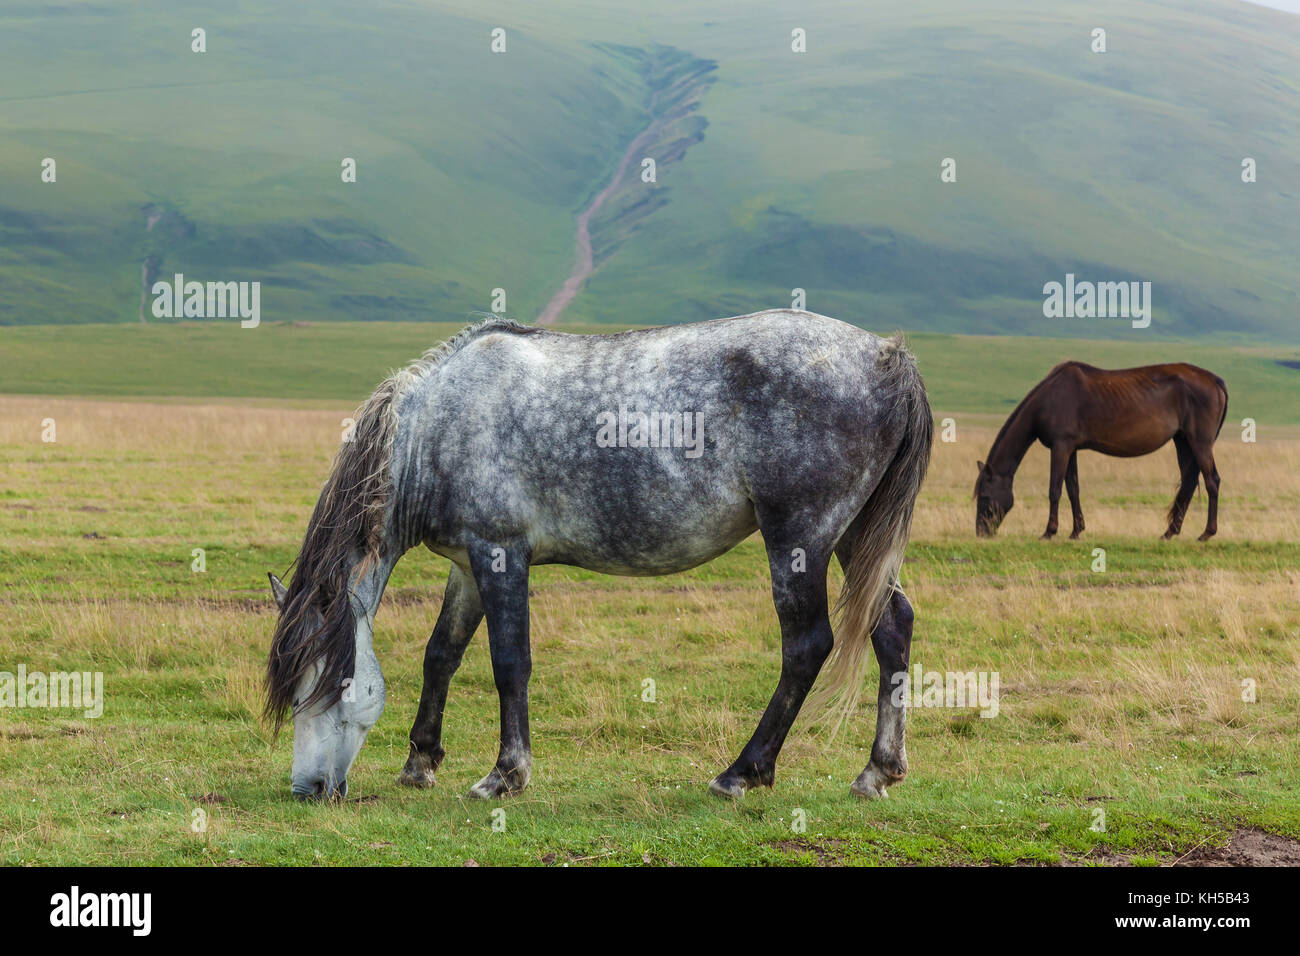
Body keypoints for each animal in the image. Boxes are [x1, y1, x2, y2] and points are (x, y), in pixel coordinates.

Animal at [264, 310, 932, 802]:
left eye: (326, 686)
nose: (308, 789)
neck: (436, 428)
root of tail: (886, 358)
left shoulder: (500, 555)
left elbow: (510, 662)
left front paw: (504, 775)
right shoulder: (467, 566)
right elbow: (441, 655)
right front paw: (420, 763)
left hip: (800, 540)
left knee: (807, 646)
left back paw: (740, 773)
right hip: (853, 539)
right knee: (892, 628)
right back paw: (877, 772)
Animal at [974, 361, 1228, 540]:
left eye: (984, 495)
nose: (981, 532)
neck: (1049, 399)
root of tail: (1214, 380)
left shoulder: (1060, 447)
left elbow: (1055, 489)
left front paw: (1049, 532)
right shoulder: (1070, 449)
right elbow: (1073, 489)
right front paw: (1076, 531)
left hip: (1200, 442)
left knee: (1212, 481)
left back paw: (1206, 533)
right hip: (1182, 440)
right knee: (1189, 482)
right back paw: (1169, 532)